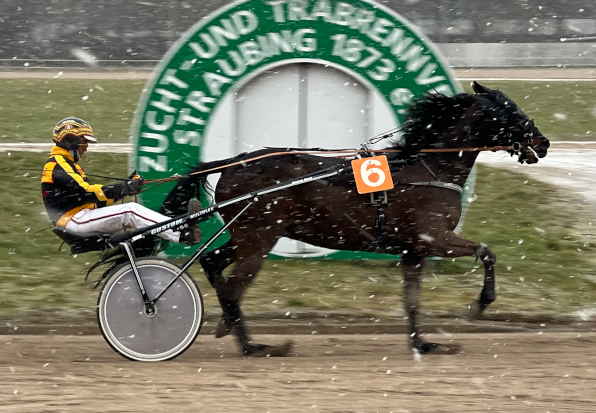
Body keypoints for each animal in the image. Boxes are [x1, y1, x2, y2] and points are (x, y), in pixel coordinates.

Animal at [142, 82, 548, 356]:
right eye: (510, 110)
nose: (542, 142)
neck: (430, 166)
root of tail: (232, 164)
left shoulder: (412, 251)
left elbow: (411, 300)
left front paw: (423, 344)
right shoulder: (434, 237)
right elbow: (487, 252)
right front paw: (479, 305)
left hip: (247, 236)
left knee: (213, 263)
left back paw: (234, 328)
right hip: (259, 238)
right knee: (235, 285)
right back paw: (252, 344)